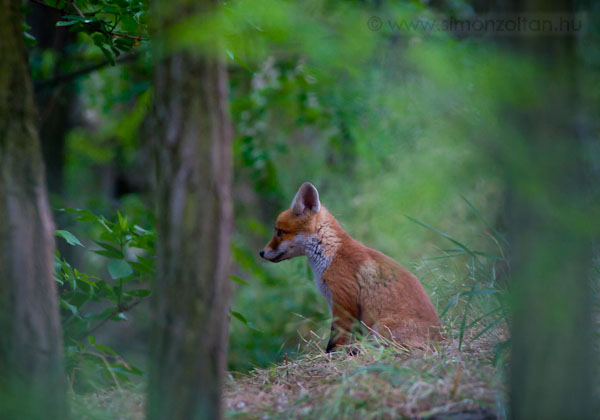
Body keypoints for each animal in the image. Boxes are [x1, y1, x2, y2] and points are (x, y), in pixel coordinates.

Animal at [260, 182, 442, 350]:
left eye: (280, 232)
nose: (261, 252)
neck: (331, 255)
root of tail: (441, 337)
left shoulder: (343, 303)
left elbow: (335, 341)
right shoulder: (336, 304)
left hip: (380, 329)